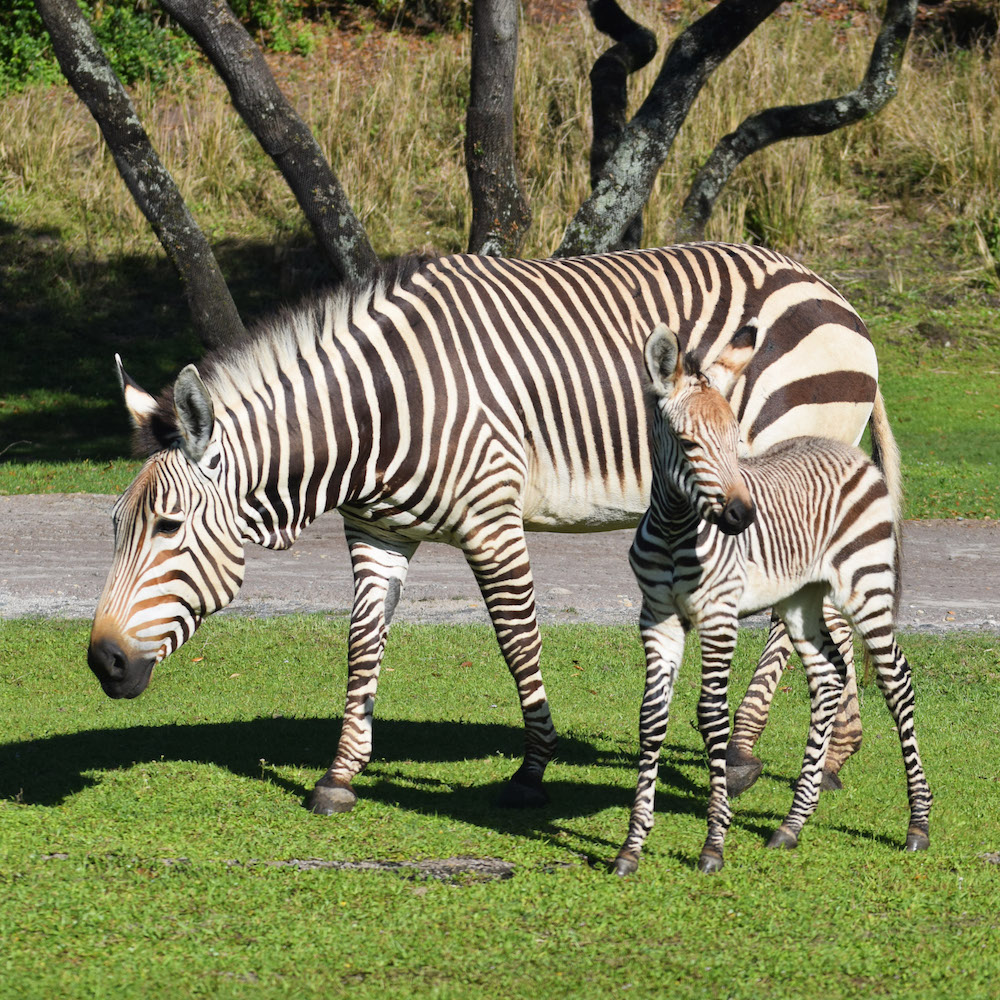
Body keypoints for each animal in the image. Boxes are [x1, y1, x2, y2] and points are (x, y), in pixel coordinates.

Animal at [87, 243, 892, 815]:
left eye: (168, 527)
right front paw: (340, 774)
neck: (377, 413)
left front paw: (533, 769)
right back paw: (836, 754)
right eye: (116, 526)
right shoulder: (375, 534)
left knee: (794, 620)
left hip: (781, 465)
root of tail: (830, 293)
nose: (103, 663)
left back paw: (748, 753)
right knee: (826, 617)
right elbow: (361, 645)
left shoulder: (491, 521)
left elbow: (517, 641)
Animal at [614, 323, 931, 875]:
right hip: (800, 599)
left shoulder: (719, 616)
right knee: (828, 675)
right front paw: (632, 847)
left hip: (866, 584)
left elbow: (711, 715)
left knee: (897, 681)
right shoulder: (658, 618)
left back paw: (918, 825)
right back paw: (791, 824)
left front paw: (713, 844)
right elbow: (651, 717)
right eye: (687, 442)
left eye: (735, 438)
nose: (743, 517)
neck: (677, 529)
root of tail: (846, 450)